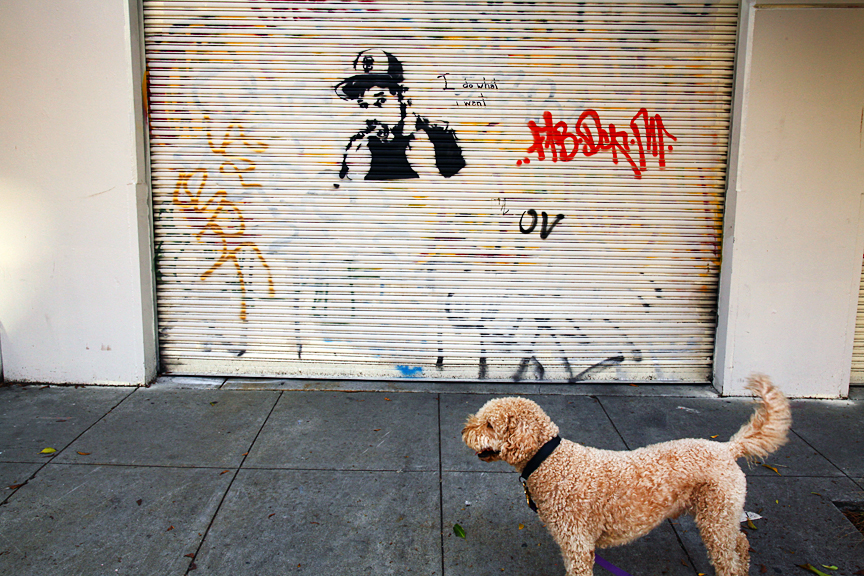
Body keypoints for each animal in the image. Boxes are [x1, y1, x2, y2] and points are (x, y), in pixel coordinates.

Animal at [462, 375, 791, 576]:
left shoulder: (577, 544)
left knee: (728, 557)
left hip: (716, 516)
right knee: (740, 543)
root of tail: (727, 448)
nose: (464, 430)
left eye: (490, 424)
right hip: (722, 515)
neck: (551, 461)